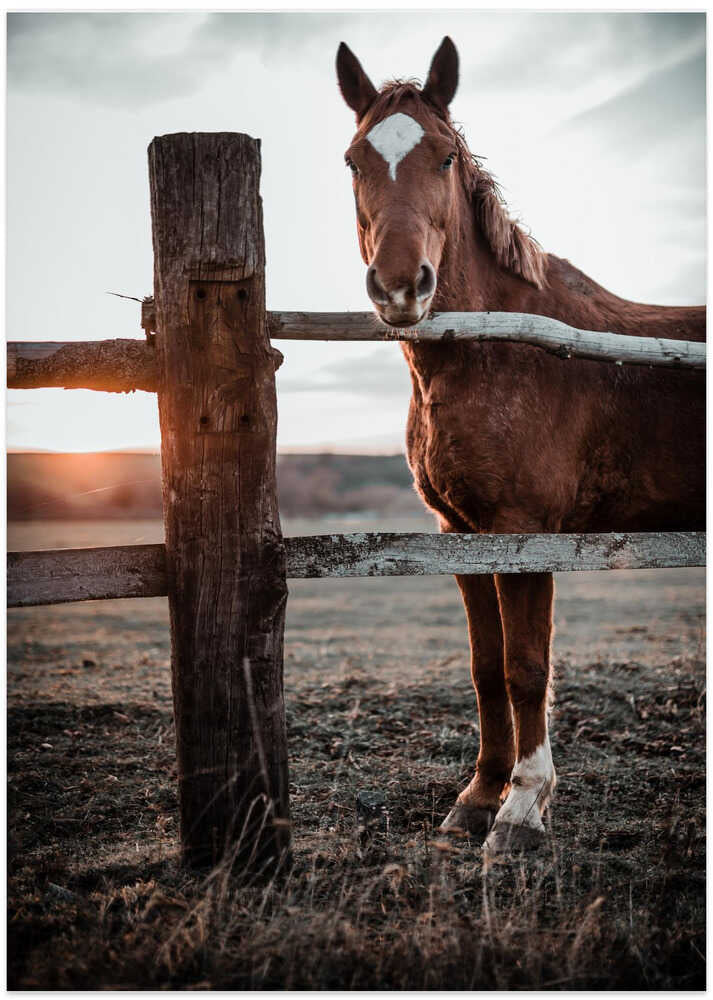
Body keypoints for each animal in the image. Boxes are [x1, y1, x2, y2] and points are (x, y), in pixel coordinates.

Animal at [336, 37, 705, 853]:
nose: (400, 286)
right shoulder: (461, 534)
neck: (496, 348)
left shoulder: (524, 532)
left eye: (443, 156)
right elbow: (485, 667)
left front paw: (522, 809)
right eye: (353, 161)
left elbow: (527, 666)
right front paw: (477, 796)